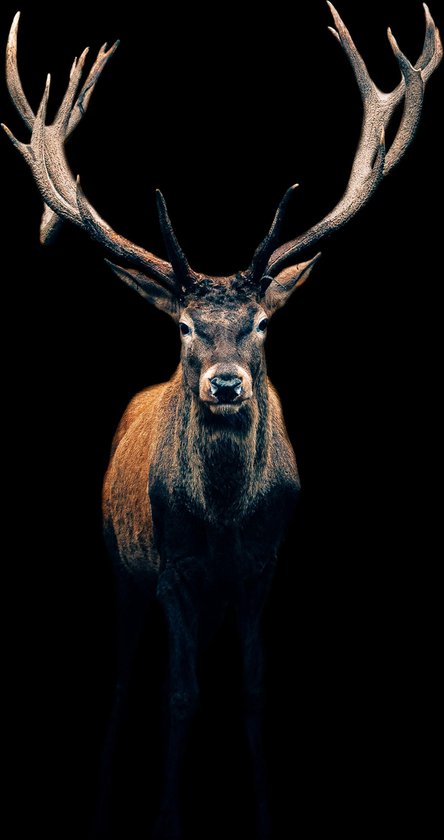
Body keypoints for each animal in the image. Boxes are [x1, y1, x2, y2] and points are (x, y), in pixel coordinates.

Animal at [3, 3, 441, 838]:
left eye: (263, 324)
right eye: (183, 326)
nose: (227, 385)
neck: (225, 519)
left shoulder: (262, 565)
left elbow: (255, 690)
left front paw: (265, 816)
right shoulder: (172, 568)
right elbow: (177, 695)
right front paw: (166, 819)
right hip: (120, 565)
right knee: (122, 682)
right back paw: (103, 801)